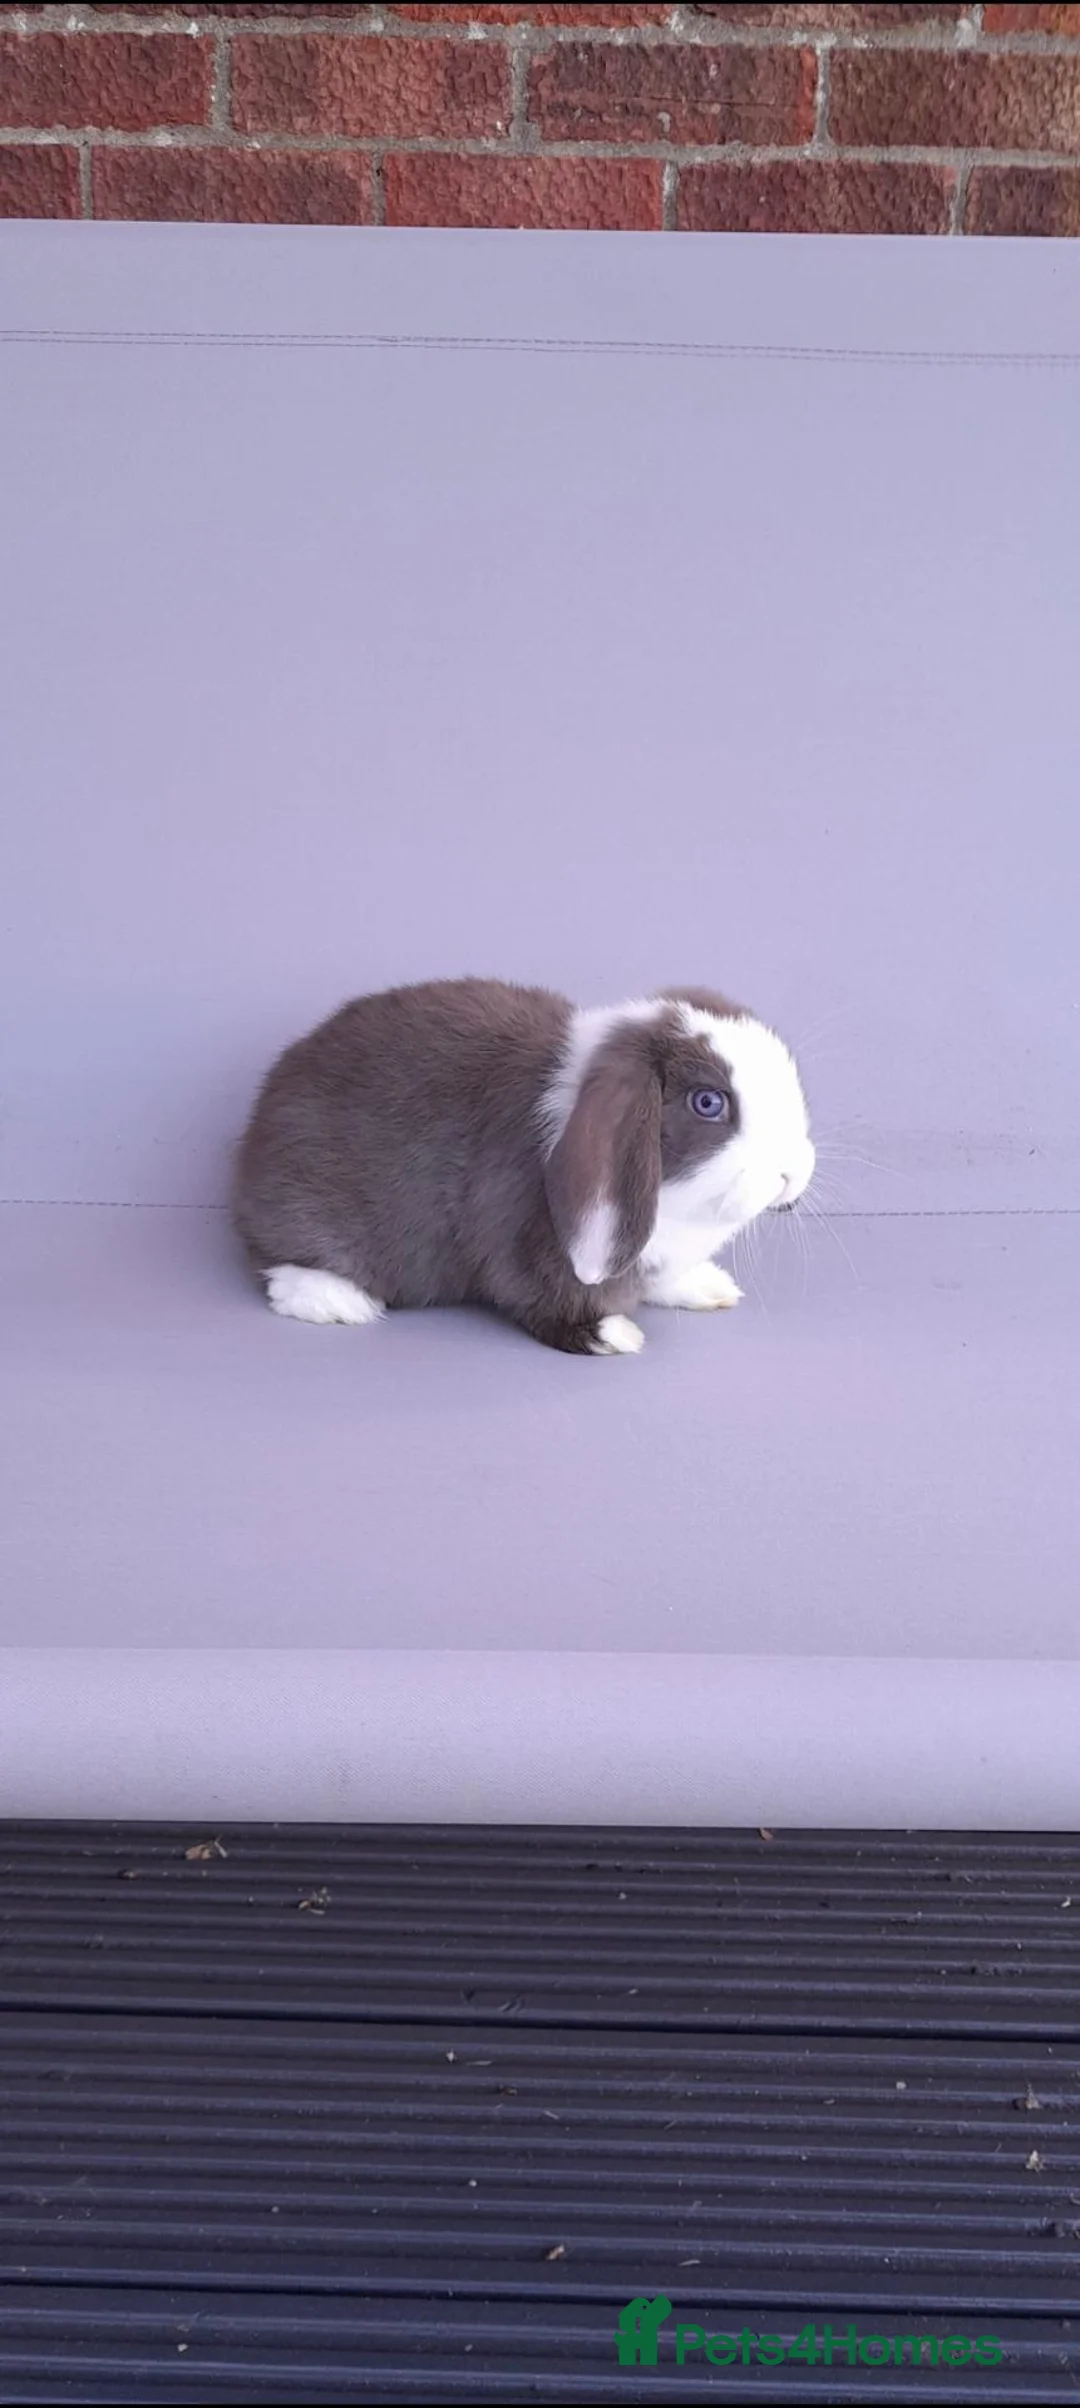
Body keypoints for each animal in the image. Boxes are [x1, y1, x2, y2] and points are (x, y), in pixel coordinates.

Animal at [232, 977, 815, 1356]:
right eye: (708, 1103)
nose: (793, 1172)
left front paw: (709, 1286)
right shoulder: (526, 1249)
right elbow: (547, 1301)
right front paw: (611, 1336)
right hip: (302, 1208)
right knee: (277, 1265)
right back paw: (337, 1300)